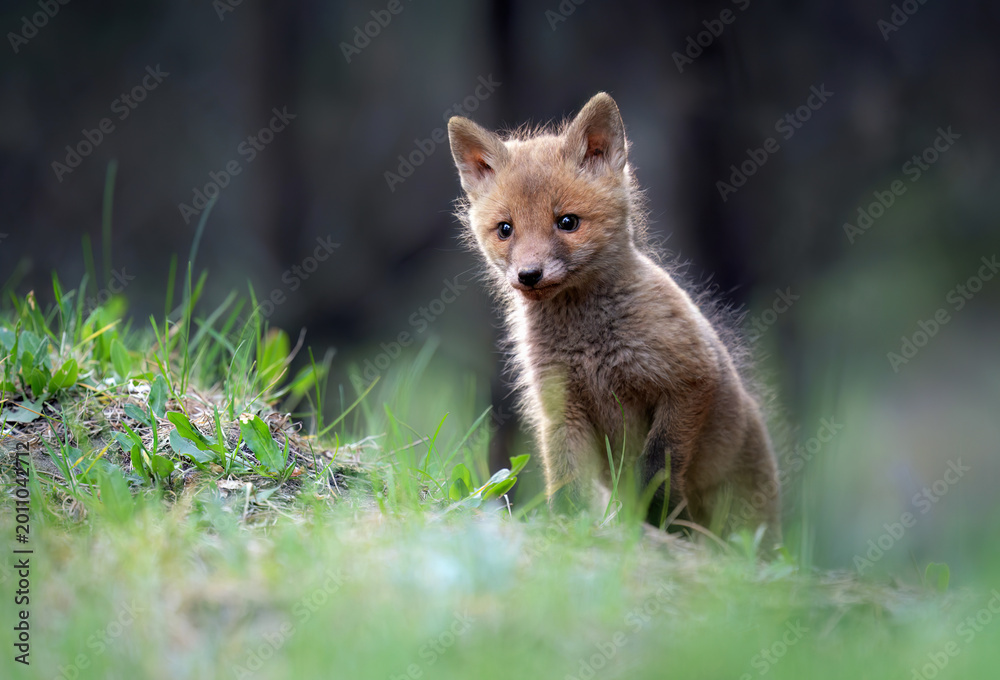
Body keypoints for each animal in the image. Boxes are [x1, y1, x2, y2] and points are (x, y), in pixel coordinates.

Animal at [447, 92, 781, 546]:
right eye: (505, 229)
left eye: (567, 222)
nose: (529, 275)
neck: (590, 345)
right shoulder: (560, 405)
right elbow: (566, 480)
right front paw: (564, 529)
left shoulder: (690, 380)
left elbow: (658, 467)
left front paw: (659, 522)